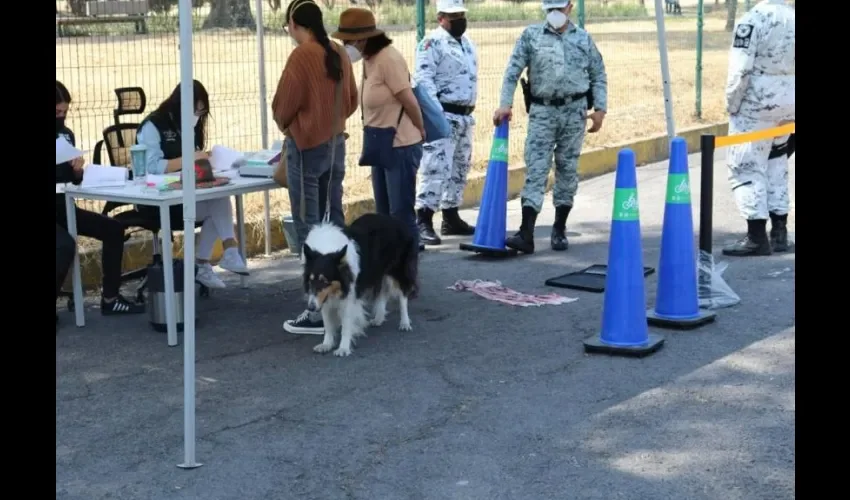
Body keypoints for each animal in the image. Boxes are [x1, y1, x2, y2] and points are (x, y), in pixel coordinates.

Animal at [302, 213, 418, 358]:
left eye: (324, 281)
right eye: (311, 280)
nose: (311, 308)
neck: (326, 249)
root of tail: (395, 219)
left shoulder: (348, 296)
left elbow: (346, 324)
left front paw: (343, 348)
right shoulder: (323, 297)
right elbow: (327, 323)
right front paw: (326, 344)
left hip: (398, 271)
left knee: (403, 297)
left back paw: (405, 322)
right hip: (378, 272)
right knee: (383, 293)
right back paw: (378, 318)